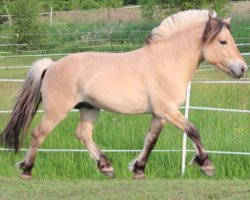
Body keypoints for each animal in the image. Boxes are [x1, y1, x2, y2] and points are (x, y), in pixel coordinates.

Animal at [0, 9, 247, 179]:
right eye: (223, 41)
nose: (243, 69)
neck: (167, 61)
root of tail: (51, 66)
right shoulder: (167, 110)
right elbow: (193, 130)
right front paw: (207, 165)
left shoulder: (159, 114)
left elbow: (151, 141)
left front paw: (138, 169)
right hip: (56, 110)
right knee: (37, 134)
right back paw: (26, 170)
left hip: (89, 108)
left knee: (83, 134)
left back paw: (107, 167)